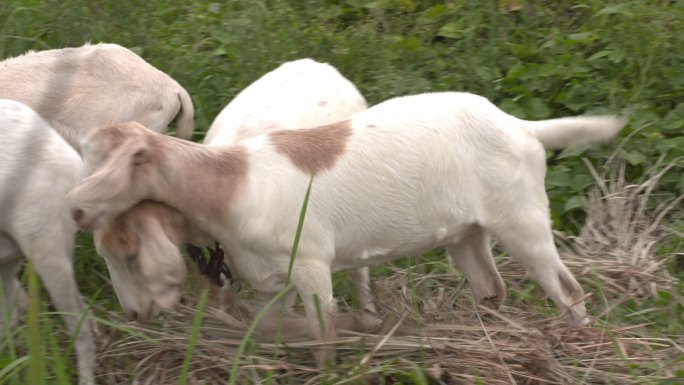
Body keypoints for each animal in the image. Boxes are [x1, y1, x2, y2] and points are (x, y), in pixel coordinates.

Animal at [67, 91, 628, 364]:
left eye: (127, 253)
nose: (74, 207)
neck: (230, 181)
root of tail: (519, 126)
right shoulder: (273, 277)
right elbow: (268, 324)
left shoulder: (311, 264)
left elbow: (323, 335)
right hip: (466, 232)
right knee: (491, 287)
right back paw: (474, 337)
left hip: (522, 218)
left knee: (568, 289)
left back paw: (581, 345)